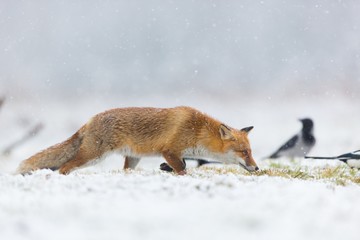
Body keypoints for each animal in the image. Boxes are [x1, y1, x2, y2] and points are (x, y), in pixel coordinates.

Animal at [16, 107, 258, 174]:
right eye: (244, 152)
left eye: (250, 151)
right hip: (93, 156)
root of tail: (90, 119)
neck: (197, 131)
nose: (256, 168)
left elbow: (180, 165)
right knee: (64, 167)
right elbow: (181, 169)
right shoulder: (169, 150)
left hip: (132, 159)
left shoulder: (176, 154)